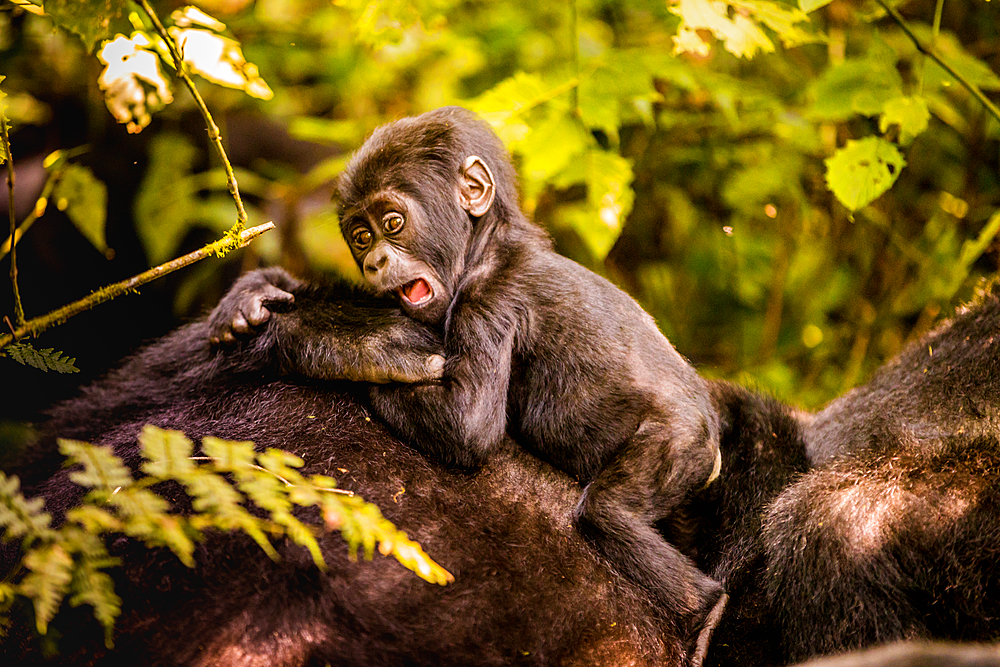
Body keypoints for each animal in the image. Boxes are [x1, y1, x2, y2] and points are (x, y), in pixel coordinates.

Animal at [215, 107, 724, 664]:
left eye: (392, 224)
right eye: (360, 237)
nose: (374, 262)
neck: (486, 245)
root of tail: (714, 446)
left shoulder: (488, 301)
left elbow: (469, 427)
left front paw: (326, 345)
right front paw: (255, 294)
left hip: (678, 444)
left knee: (609, 513)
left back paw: (705, 608)